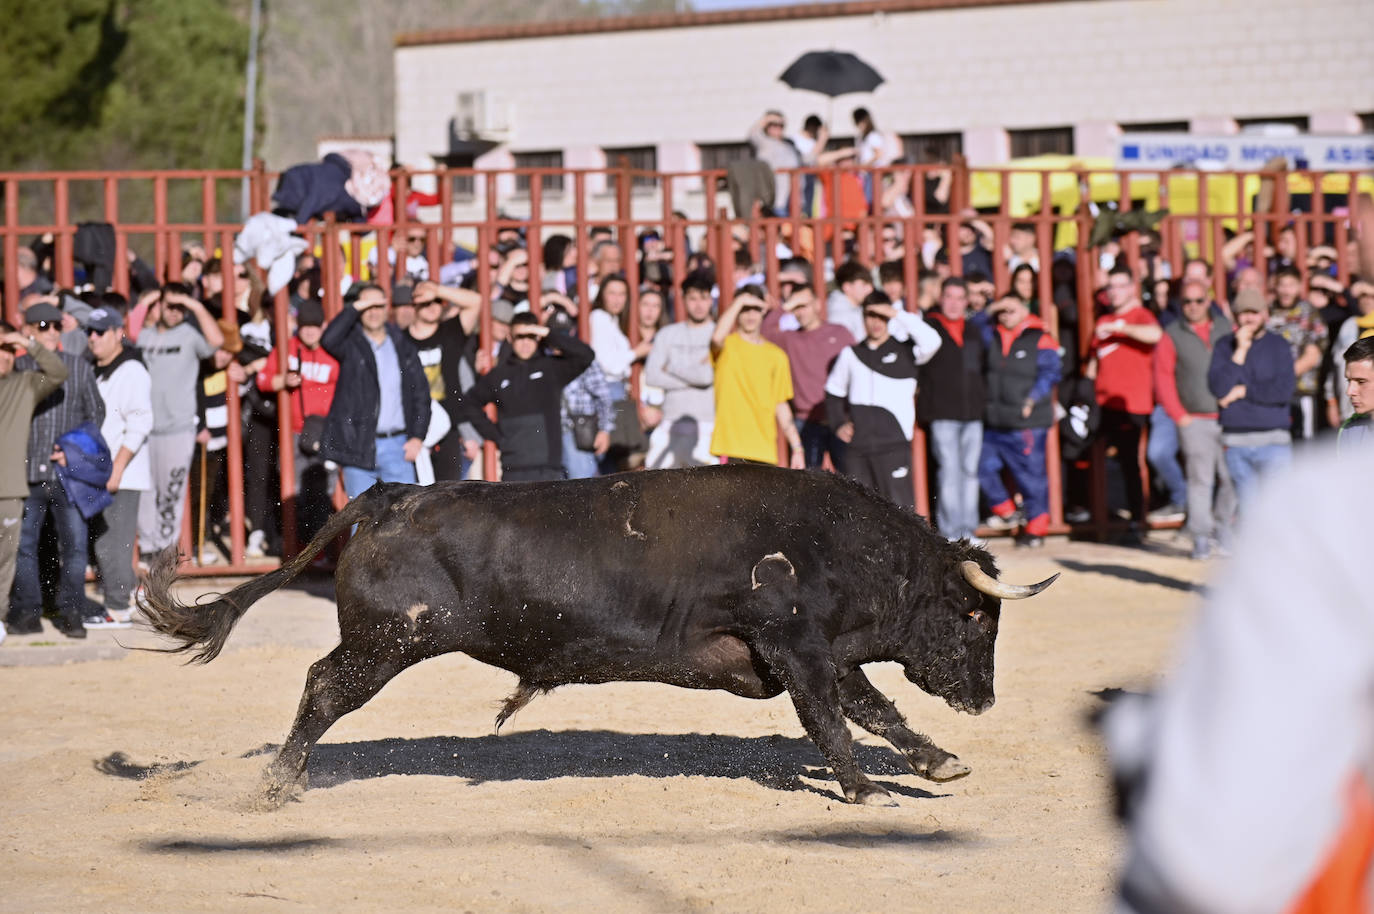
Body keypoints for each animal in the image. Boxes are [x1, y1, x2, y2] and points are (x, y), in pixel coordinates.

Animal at [139, 467, 1055, 802]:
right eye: (978, 616)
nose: (984, 700)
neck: (836, 546)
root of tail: (392, 493)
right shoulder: (798, 650)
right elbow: (843, 718)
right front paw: (869, 789)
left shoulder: (805, 656)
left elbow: (867, 711)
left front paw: (934, 762)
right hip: (387, 646)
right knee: (325, 687)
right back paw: (280, 782)